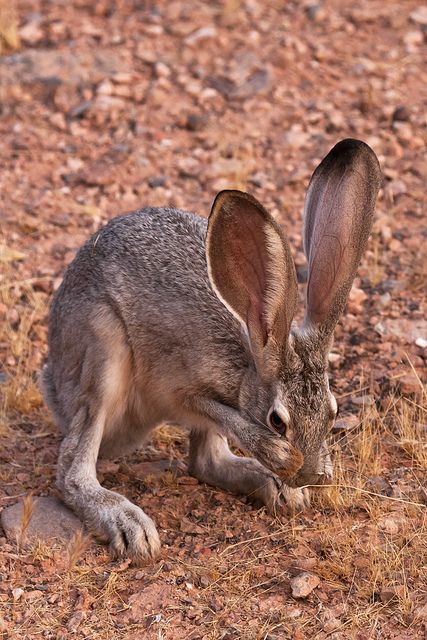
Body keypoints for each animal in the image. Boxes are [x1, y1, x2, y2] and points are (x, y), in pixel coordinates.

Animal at [41, 139, 382, 560]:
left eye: (333, 413)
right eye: (277, 421)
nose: (309, 475)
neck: (253, 351)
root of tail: (53, 388)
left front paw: (292, 482)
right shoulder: (182, 390)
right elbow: (222, 414)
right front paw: (279, 457)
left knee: (207, 462)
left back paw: (273, 487)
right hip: (101, 352)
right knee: (72, 470)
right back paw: (129, 524)